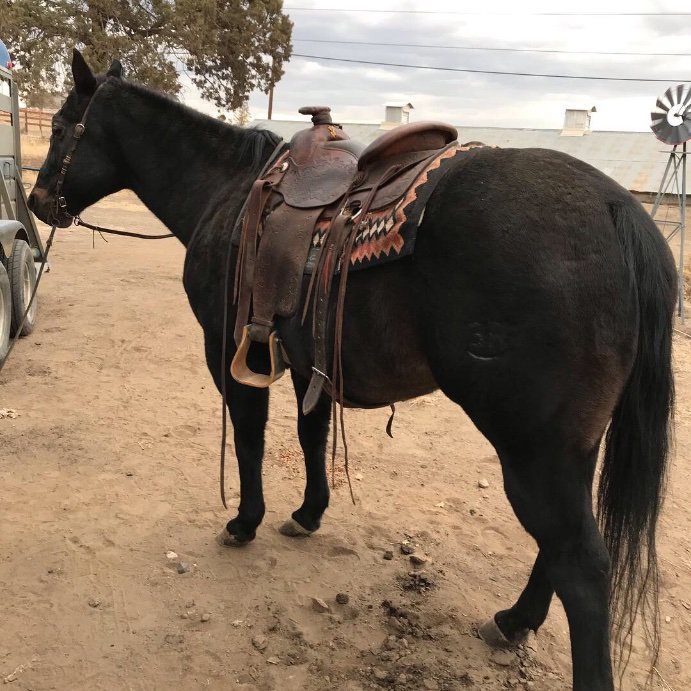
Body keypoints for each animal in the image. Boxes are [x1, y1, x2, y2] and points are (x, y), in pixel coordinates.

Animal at [29, 50, 677, 691]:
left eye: (60, 127)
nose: (36, 203)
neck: (229, 191)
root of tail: (617, 208)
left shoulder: (230, 349)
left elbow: (249, 437)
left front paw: (246, 521)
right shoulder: (302, 358)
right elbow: (309, 435)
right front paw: (308, 513)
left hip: (531, 449)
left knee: (581, 564)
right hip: (568, 447)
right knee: (559, 546)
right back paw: (515, 620)